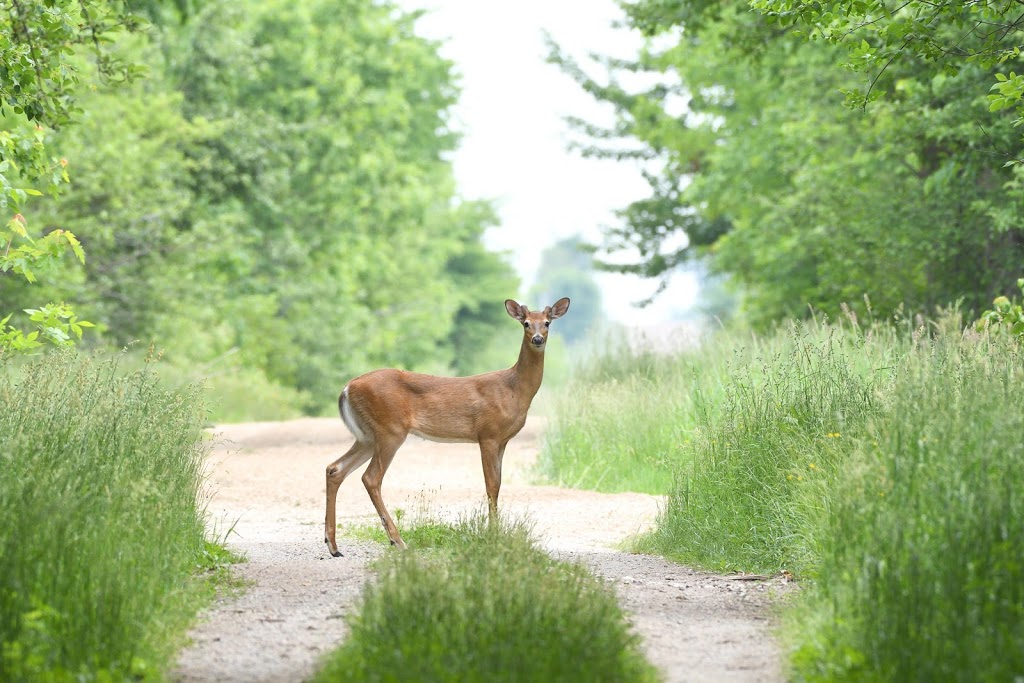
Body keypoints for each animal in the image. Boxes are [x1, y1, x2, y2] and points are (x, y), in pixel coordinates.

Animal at [321, 296, 569, 557]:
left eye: (547, 323)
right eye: (526, 323)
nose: (537, 339)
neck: (515, 390)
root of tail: (347, 388)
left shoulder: (502, 440)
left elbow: (498, 484)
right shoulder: (488, 434)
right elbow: (491, 485)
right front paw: (493, 537)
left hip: (367, 436)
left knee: (335, 469)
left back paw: (333, 545)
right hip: (390, 430)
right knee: (370, 478)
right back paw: (397, 541)